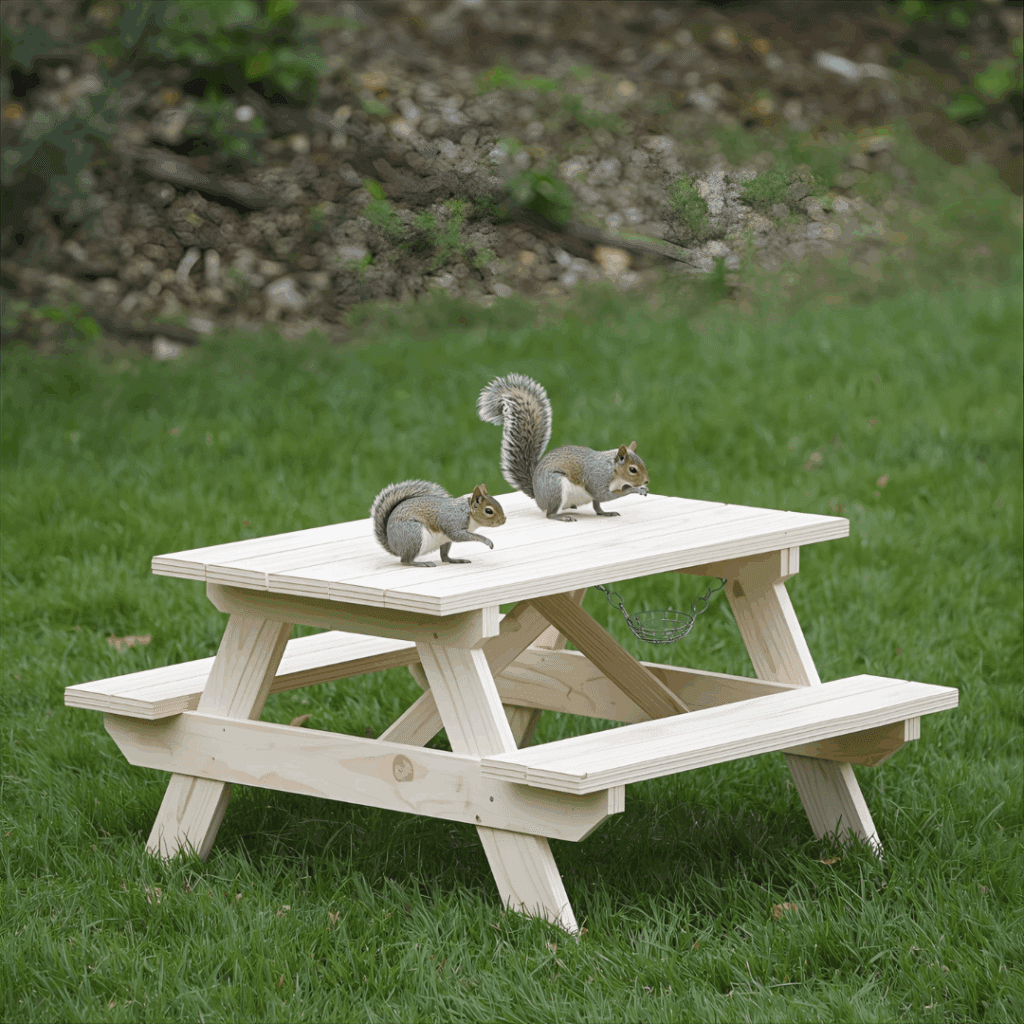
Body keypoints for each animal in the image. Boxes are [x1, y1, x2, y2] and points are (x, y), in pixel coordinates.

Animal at [370, 480, 506, 567]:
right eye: (488, 511)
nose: (504, 520)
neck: (468, 512)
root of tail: (394, 546)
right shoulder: (453, 521)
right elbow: (458, 535)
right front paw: (486, 540)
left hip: (444, 541)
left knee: (444, 557)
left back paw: (455, 560)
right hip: (413, 536)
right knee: (405, 560)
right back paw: (421, 563)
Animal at [477, 373, 649, 522]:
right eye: (632, 469)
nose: (647, 481)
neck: (614, 473)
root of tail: (538, 495)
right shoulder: (597, 479)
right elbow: (607, 495)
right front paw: (636, 489)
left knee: (596, 507)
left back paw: (605, 512)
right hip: (555, 487)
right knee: (550, 514)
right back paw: (561, 516)